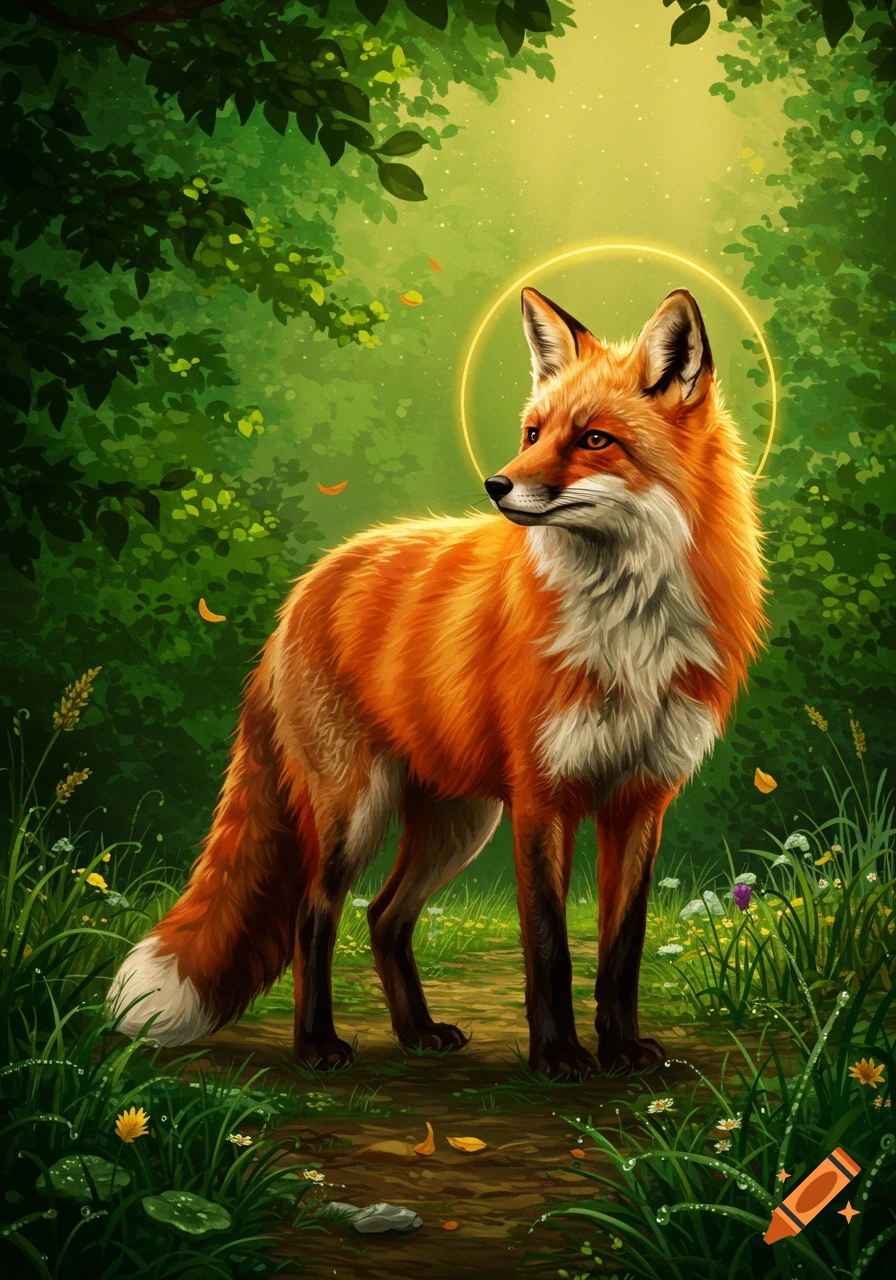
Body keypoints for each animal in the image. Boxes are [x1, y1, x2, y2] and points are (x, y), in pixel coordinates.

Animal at [109, 286, 765, 1080]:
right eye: (533, 431)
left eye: (593, 440)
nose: (497, 483)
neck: (628, 625)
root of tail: (306, 586)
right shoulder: (542, 797)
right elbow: (549, 946)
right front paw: (558, 1056)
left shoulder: (640, 798)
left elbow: (621, 948)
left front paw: (620, 1049)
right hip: (354, 809)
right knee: (314, 913)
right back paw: (317, 1044)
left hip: (457, 822)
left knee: (384, 916)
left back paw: (417, 1032)